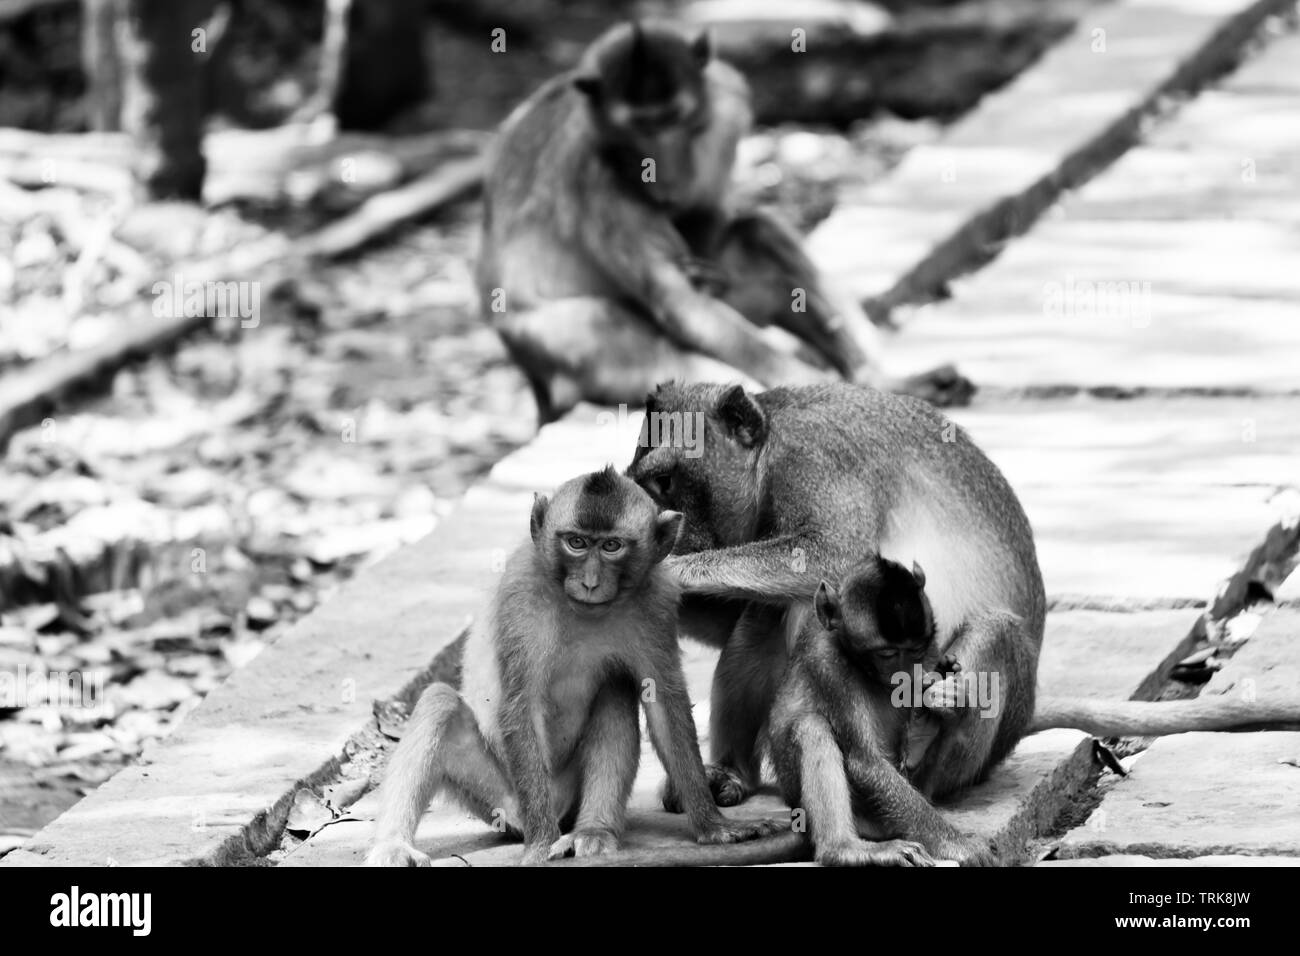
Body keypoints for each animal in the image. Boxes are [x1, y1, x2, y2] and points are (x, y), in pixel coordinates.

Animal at [364, 465, 780, 868]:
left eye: (611, 546)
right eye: (576, 543)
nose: (590, 582)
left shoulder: (657, 598)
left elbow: (663, 703)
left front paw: (714, 827)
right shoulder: (520, 593)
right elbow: (520, 706)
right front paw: (539, 849)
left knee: (616, 688)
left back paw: (593, 832)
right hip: (500, 797)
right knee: (439, 703)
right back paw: (394, 845)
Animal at [475, 17, 967, 421]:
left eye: (673, 120)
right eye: (639, 129)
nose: (664, 174)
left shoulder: (728, 108)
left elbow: (710, 225)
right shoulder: (596, 177)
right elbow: (680, 301)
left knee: (758, 233)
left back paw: (879, 379)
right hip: (561, 350)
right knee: (606, 324)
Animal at [629, 382, 1300, 868]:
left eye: (666, 480)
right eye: (644, 481)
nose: (662, 525)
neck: (771, 445)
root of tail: (1023, 718)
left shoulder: (816, 465)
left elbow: (825, 556)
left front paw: (670, 566)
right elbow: (739, 612)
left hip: (956, 759)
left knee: (986, 635)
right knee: (767, 616)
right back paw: (733, 775)